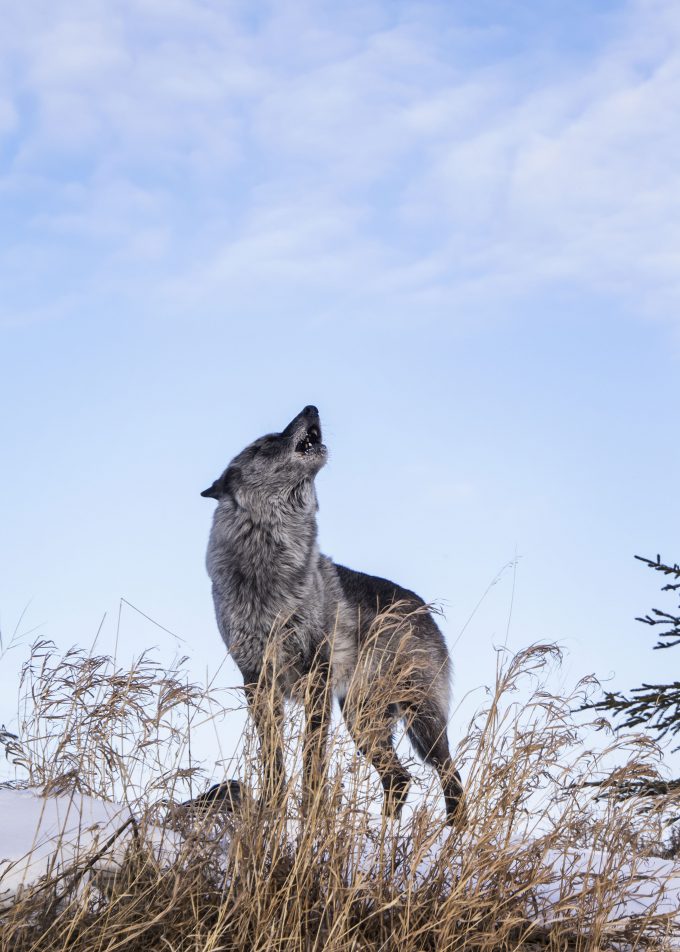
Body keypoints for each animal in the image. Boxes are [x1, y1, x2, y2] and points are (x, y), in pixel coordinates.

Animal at [201, 406, 464, 825]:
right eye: (265, 443)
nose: (311, 408)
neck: (267, 561)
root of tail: (421, 607)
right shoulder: (257, 681)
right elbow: (272, 757)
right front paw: (273, 807)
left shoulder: (317, 677)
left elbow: (313, 755)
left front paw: (310, 809)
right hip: (363, 719)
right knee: (400, 778)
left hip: (418, 720)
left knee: (449, 775)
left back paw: (454, 833)